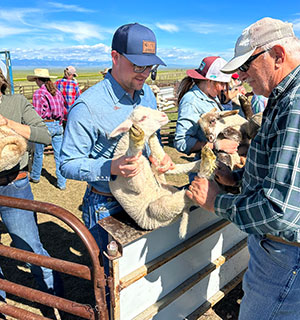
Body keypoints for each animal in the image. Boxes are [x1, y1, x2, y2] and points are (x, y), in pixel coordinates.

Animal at [109, 105, 217, 238]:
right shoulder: (128, 178)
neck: (123, 152)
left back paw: (207, 161)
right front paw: (135, 140)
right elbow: (135, 179)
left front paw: (151, 137)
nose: (164, 115)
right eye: (143, 117)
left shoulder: (157, 167)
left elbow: (167, 165)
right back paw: (206, 172)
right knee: (186, 198)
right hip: (158, 212)